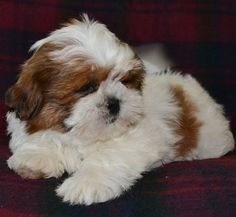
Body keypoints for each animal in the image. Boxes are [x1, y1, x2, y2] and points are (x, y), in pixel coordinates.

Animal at [5, 15, 234, 205]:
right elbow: (42, 139)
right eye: (87, 88)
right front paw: (34, 158)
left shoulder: (138, 139)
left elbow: (108, 157)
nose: (114, 102)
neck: (84, 137)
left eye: (124, 82)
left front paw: (85, 183)